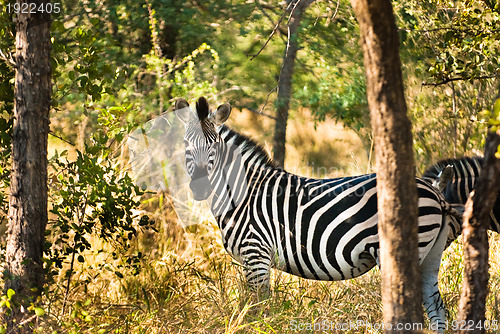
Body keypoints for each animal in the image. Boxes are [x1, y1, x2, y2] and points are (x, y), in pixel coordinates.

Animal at [175, 96, 460, 332]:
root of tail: (434, 192)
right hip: (430, 254)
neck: (244, 193)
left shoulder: (256, 254)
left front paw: (260, 327)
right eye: (186, 145)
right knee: (437, 309)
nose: (199, 187)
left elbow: (259, 308)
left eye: (213, 146)